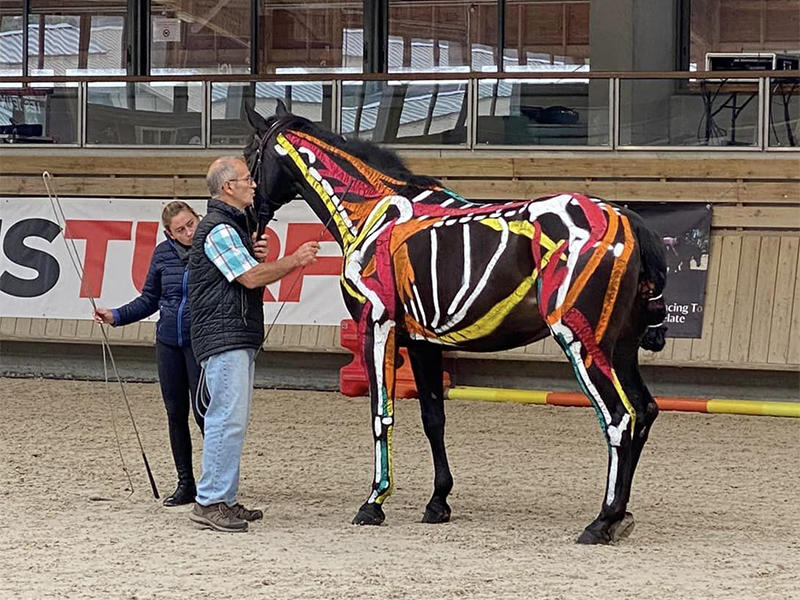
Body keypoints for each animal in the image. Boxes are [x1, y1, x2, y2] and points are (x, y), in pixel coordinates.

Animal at [243, 101, 668, 545]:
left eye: (249, 154)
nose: (253, 216)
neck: (374, 209)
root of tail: (627, 219)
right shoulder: (423, 344)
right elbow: (434, 418)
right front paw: (438, 502)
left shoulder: (377, 326)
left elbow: (381, 414)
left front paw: (374, 502)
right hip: (620, 349)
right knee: (644, 410)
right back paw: (620, 516)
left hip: (583, 342)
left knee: (619, 418)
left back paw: (602, 520)